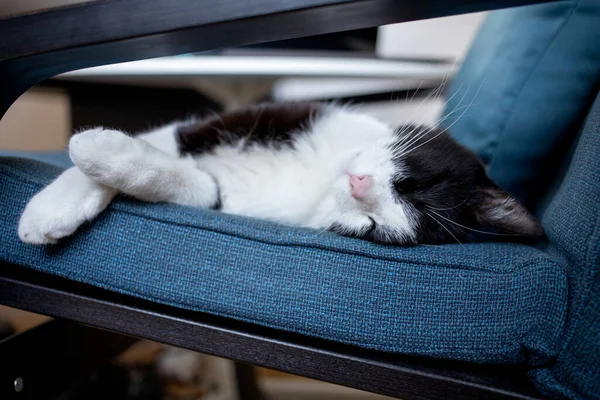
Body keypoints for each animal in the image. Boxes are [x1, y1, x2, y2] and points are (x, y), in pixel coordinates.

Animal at [17, 101, 544, 245]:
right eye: (416, 184)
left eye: (376, 228)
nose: (360, 187)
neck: (320, 177)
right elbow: (172, 138)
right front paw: (57, 202)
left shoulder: (224, 200)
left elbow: (197, 186)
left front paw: (103, 155)